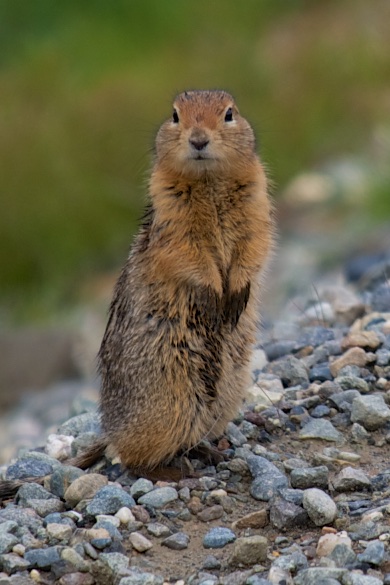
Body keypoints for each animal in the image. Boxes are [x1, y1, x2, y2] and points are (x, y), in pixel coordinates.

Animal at [0, 89, 272, 496]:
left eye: (228, 114)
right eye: (174, 115)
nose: (198, 140)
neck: (209, 181)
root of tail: (111, 428)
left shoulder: (257, 204)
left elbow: (254, 248)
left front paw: (236, 293)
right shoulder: (172, 222)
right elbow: (191, 256)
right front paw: (213, 295)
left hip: (222, 398)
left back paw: (208, 452)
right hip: (167, 407)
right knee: (130, 460)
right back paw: (174, 472)